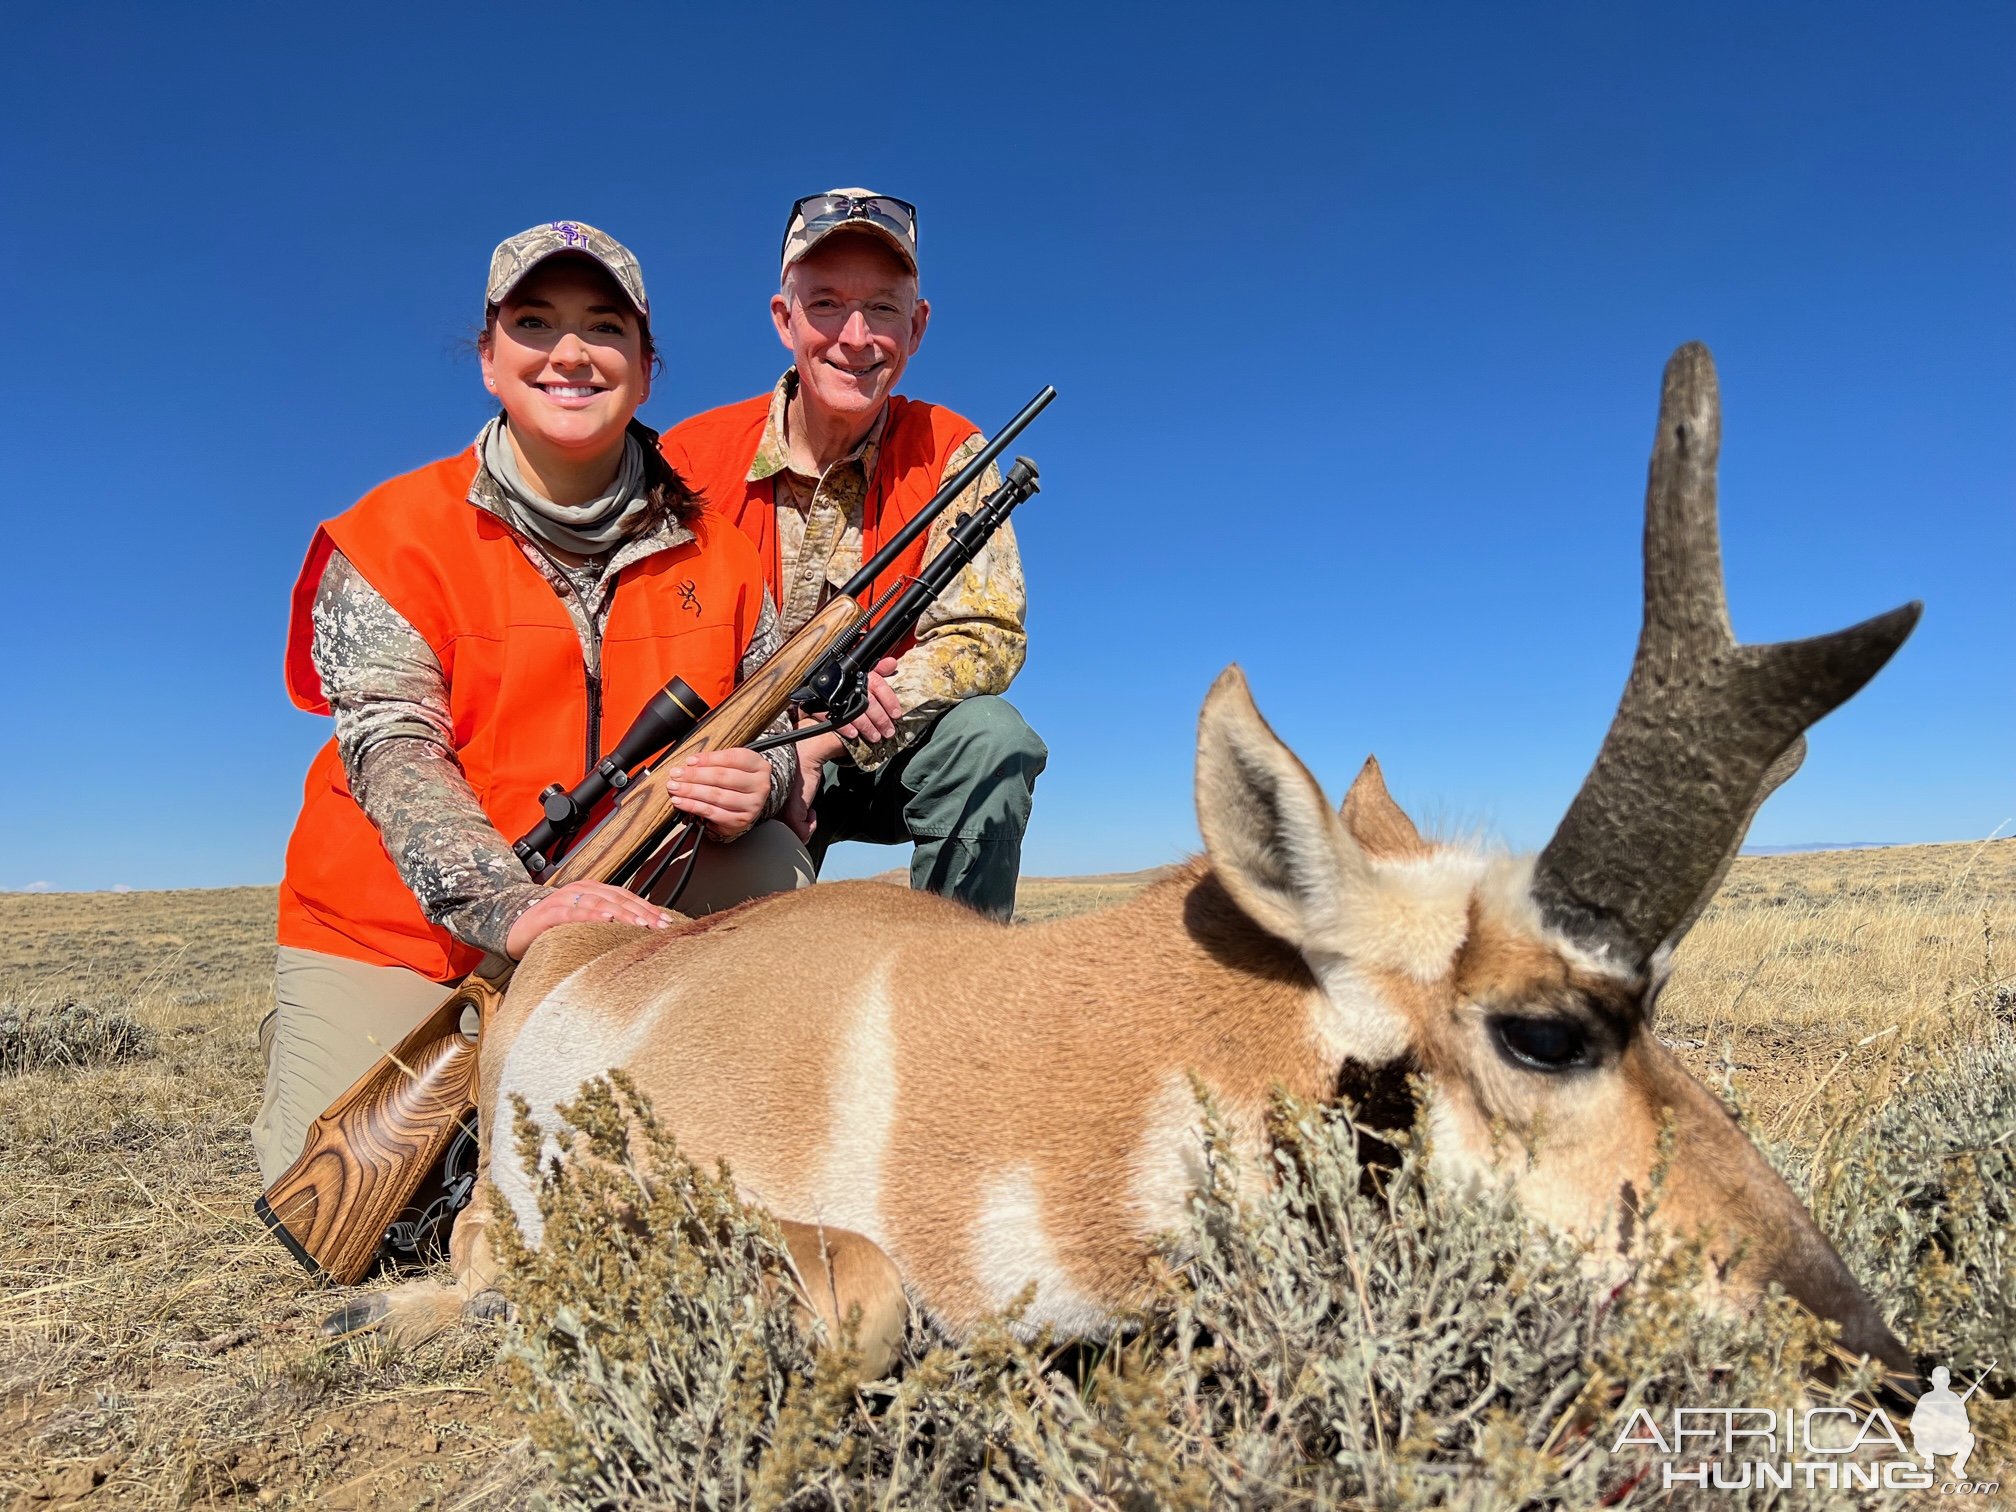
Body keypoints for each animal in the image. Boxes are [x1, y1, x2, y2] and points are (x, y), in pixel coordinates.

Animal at [362, 346, 1919, 1387]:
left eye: (1669, 1011)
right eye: (1545, 1031)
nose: (1885, 1356)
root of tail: (563, 947)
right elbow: (863, 1299)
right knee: (471, 1246)